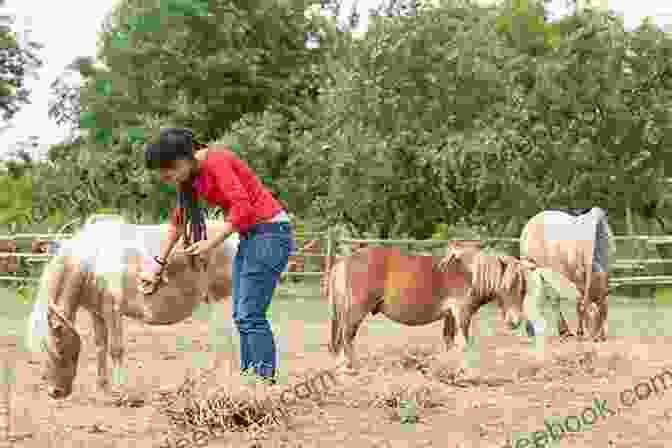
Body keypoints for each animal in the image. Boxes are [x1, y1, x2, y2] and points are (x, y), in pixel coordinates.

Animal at [26, 219, 239, 398]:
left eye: (59, 349)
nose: (55, 392)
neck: (93, 261)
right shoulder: (97, 313)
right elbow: (100, 346)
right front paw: (102, 387)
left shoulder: (112, 311)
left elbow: (116, 350)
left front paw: (121, 391)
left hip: (224, 301)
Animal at [326, 242, 532, 372]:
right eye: (507, 287)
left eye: (524, 290)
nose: (515, 322)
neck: (470, 274)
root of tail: (344, 261)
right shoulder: (462, 313)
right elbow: (463, 343)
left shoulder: (450, 316)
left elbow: (449, 341)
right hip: (356, 310)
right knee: (347, 336)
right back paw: (354, 367)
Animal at [520, 208, 616, 342]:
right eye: (588, 317)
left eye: (602, 315)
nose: (595, 338)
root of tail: (532, 220)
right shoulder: (578, 278)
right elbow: (579, 304)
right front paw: (580, 333)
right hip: (534, 268)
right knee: (552, 299)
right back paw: (561, 331)